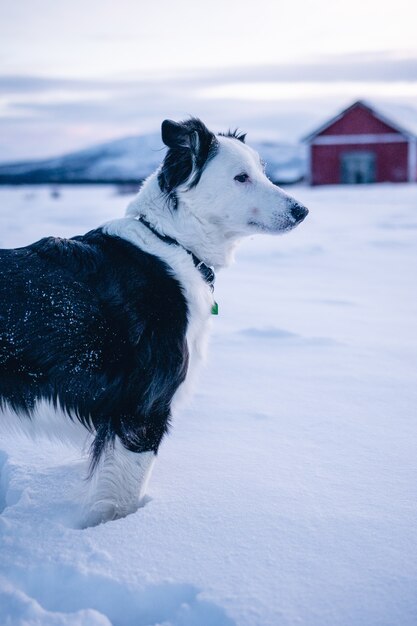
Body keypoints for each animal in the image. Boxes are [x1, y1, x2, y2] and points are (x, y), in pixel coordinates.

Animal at [0, 116, 306, 520]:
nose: (302, 210)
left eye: (263, 171)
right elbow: (123, 497)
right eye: (241, 177)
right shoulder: (143, 411)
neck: (173, 242)